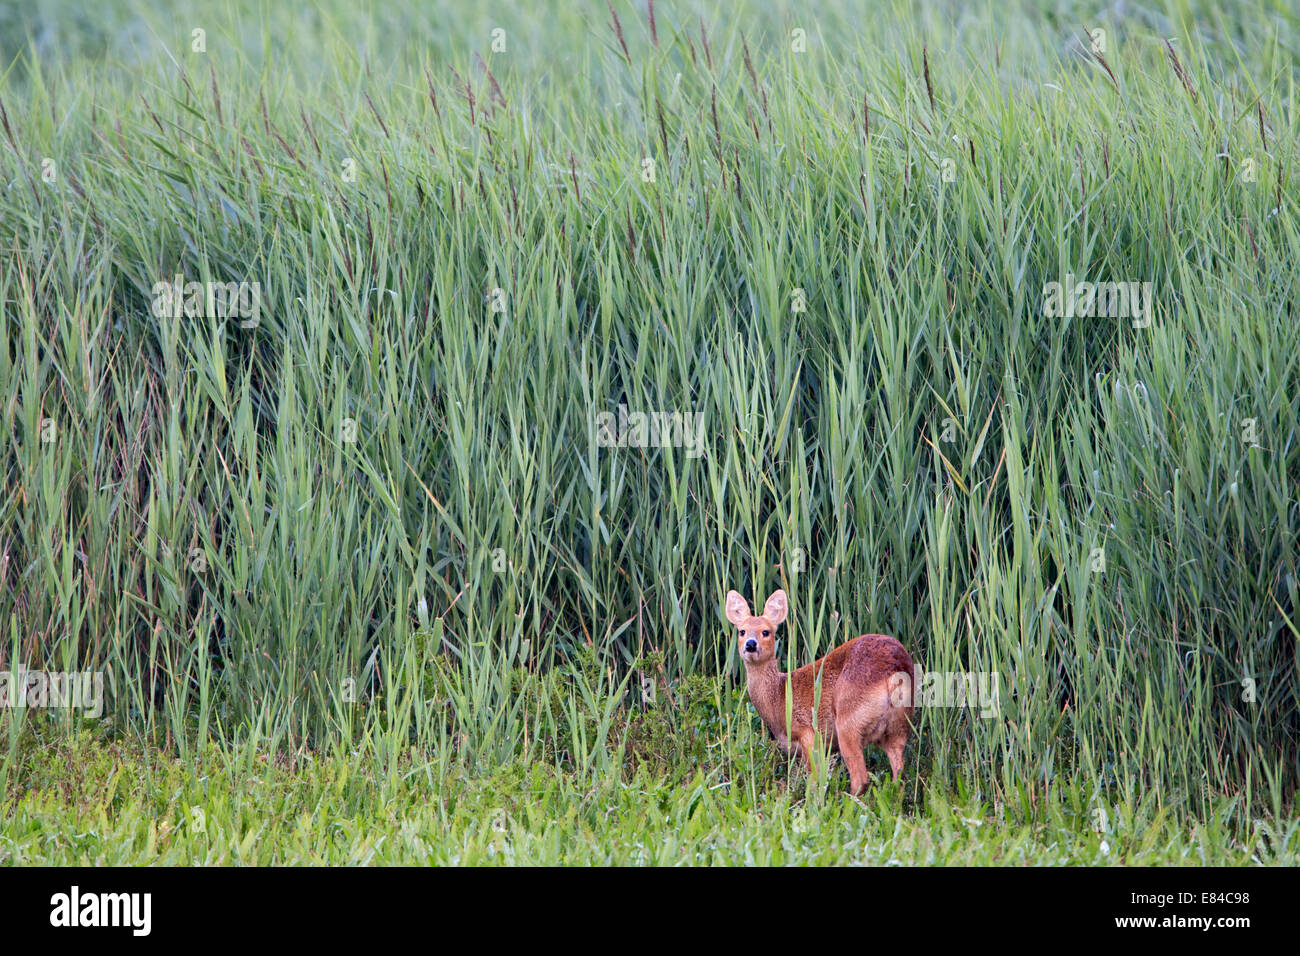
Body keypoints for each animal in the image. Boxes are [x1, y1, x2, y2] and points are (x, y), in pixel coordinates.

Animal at [733, 587, 915, 796]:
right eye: (742, 631)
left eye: (766, 631)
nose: (750, 644)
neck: (778, 697)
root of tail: (895, 672)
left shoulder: (808, 734)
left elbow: (814, 781)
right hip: (898, 728)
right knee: (899, 778)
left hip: (848, 722)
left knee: (861, 778)